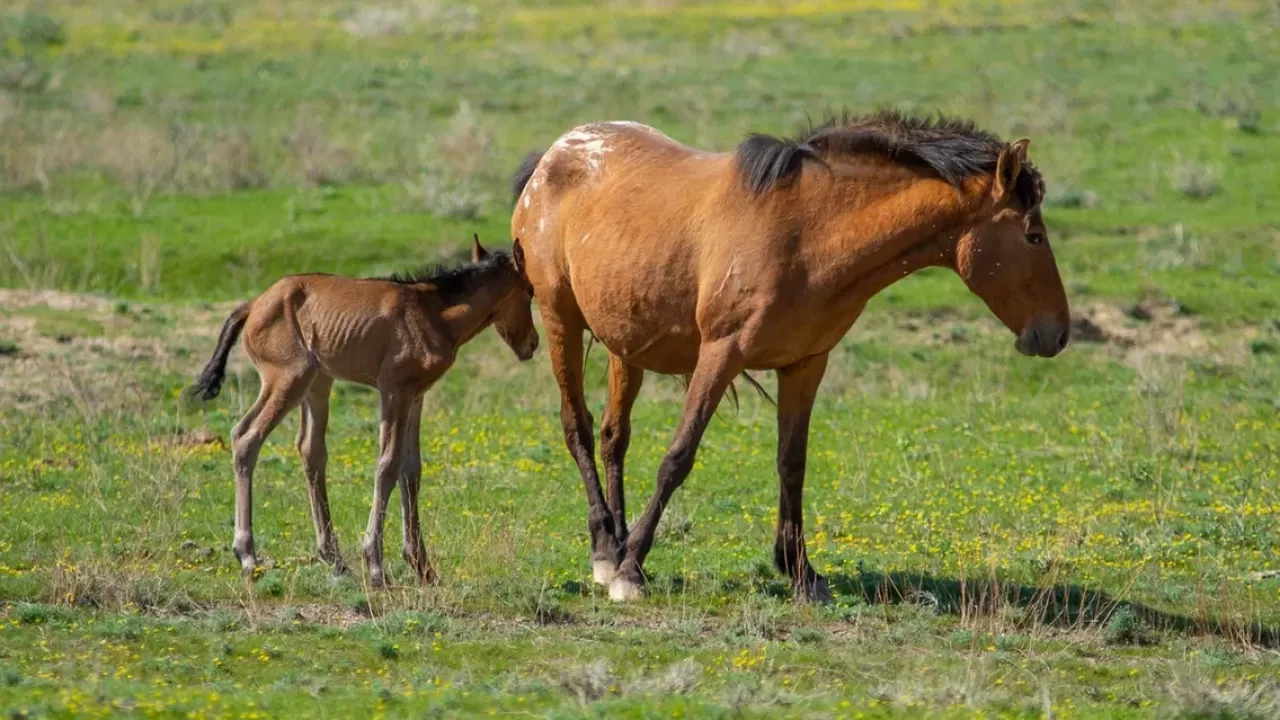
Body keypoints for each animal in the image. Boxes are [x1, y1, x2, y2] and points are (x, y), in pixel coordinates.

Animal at [186, 235, 537, 584]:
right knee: (246, 437)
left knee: (310, 450)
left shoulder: (416, 396)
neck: (433, 313)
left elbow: (412, 469)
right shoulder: (394, 390)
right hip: (288, 379)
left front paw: (423, 567)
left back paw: (335, 559)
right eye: (530, 291)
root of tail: (254, 304)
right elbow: (388, 464)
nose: (532, 344)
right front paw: (376, 564)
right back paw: (247, 555)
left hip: (318, 383)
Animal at [509, 107, 1070, 599]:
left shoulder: (805, 363)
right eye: (1033, 235)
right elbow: (678, 457)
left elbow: (791, 463)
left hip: (626, 344)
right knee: (578, 429)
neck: (806, 235)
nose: (1059, 334)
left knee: (613, 438)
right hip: (561, 321)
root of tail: (553, 156)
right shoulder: (721, 354)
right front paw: (632, 571)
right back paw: (609, 550)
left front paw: (800, 571)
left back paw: (614, 543)